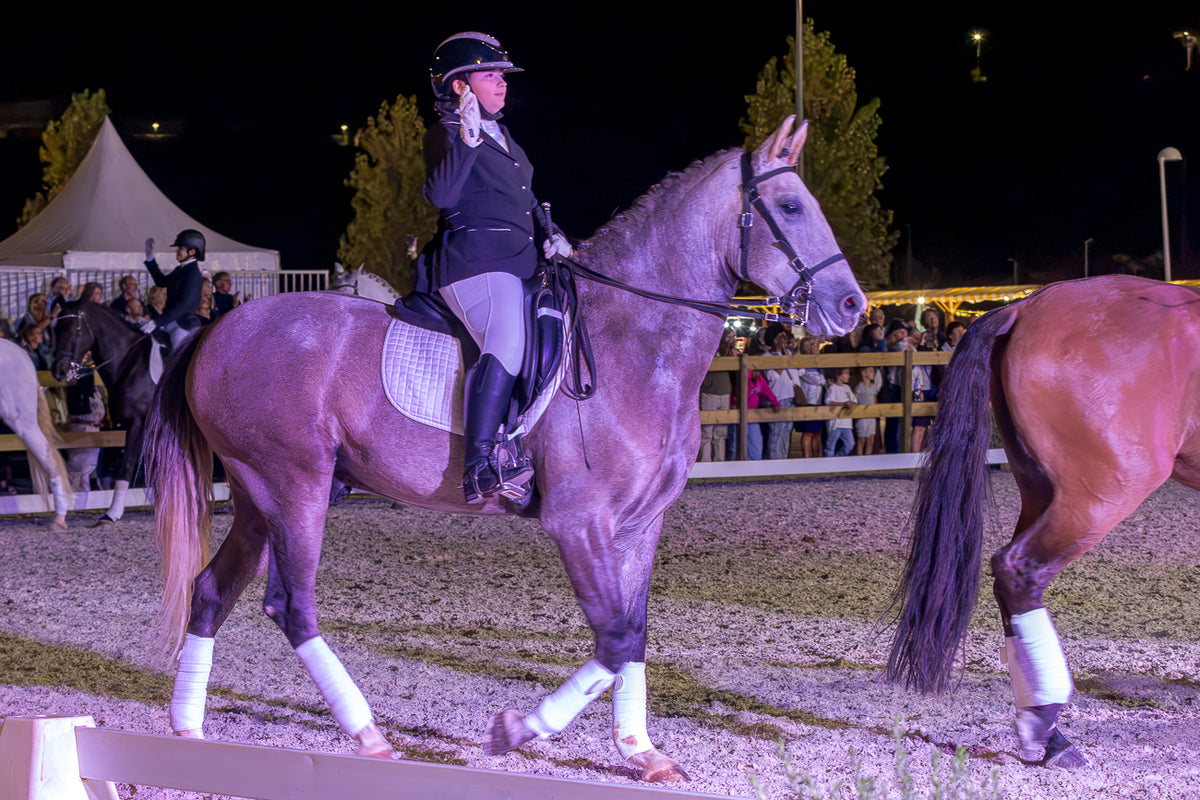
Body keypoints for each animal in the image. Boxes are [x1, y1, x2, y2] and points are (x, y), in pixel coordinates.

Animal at [51, 300, 158, 524]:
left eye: (75, 331)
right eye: (55, 330)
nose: (58, 371)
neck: (130, 361)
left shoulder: (138, 423)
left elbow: (126, 466)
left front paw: (112, 514)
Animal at [144, 116, 867, 781]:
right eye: (791, 207)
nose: (852, 306)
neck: (636, 345)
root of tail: (216, 332)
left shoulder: (640, 524)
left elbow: (633, 632)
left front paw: (641, 751)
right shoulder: (579, 521)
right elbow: (612, 639)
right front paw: (517, 730)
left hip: (258, 494)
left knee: (212, 592)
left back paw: (189, 730)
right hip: (294, 486)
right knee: (291, 605)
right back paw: (368, 735)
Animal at [887, 275, 1200, 769]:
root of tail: (1025, 306)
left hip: (1042, 491)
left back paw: (1047, 732)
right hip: (1100, 494)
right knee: (1019, 570)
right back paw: (1044, 722)